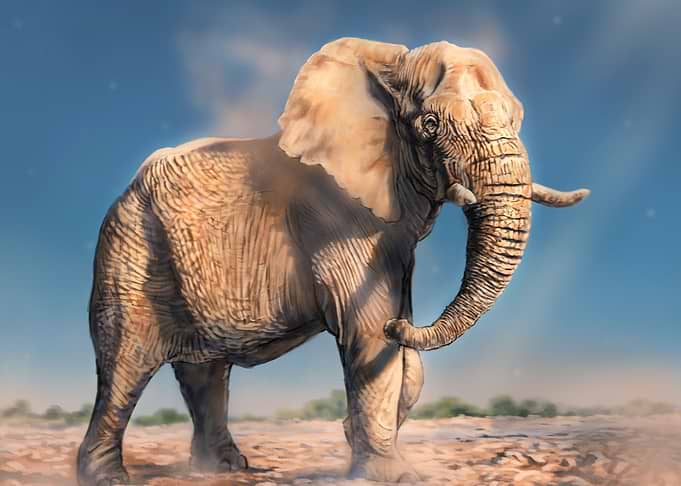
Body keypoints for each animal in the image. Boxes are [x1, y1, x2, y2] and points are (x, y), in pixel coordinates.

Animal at [77, 37, 589, 485]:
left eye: (517, 118)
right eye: (429, 125)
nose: (401, 328)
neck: (389, 67)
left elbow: (402, 355)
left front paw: (358, 433)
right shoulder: (335, 214)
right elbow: (368, 327)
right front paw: (392, 475)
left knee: (204, 371)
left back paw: (221, 469)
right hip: (129, 249)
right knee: (124, 365)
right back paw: (108, 478)